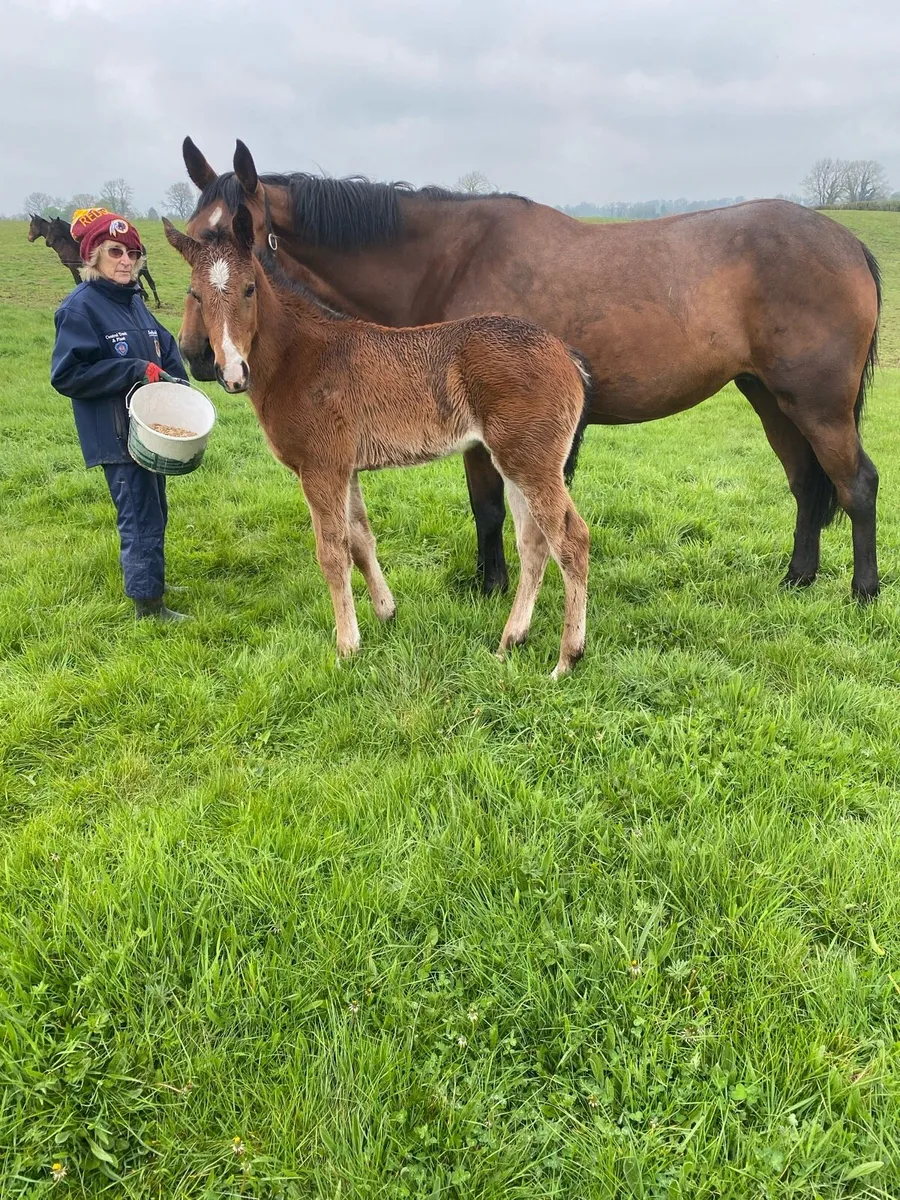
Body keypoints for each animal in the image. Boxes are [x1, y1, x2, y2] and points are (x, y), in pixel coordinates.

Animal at [27, 214, 162, 306]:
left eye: (54, 228)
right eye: (49, 228)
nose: (48, 242)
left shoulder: (74, 268)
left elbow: (79, 283)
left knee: (145, 283)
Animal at [163, 207, 594, 678]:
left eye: (249, 289)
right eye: (196, 293)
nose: (230, 373)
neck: (300, 357)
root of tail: (565, 353)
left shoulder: (321, 469)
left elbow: (332, 554)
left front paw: (346, 647)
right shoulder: (345, 468)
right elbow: (360, 541)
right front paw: (386, 613)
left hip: (531, 462)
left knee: (571, 540)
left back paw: (567, 659)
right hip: (514, 462)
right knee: (533, 544)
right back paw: (509, 642)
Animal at [179, 138, 883, 605]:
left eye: (242, 234)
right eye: (188, 238)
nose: (198, 354)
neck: (452, 259)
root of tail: (848, 243)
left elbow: (489, 509)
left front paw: (493, 587)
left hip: (818, 404)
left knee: (856, 484)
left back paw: (864, 590)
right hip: (770, 398)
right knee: (806, 485)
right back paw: (798, 578)